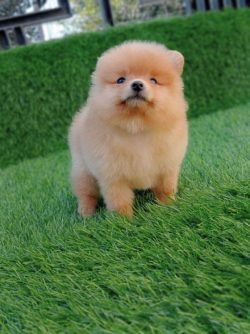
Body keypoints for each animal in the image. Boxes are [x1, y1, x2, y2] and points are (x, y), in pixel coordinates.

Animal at [68, 40, 188, 218]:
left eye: (153, 80)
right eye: (120, 80)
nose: (137, 84)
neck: (136, 127)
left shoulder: (166, 167)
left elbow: (165, 190)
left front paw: (168, 208)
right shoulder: (113, 176)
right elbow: (120, 202)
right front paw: (124, 221)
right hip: (84, 171)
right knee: (86, 193)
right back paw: (86, 214)